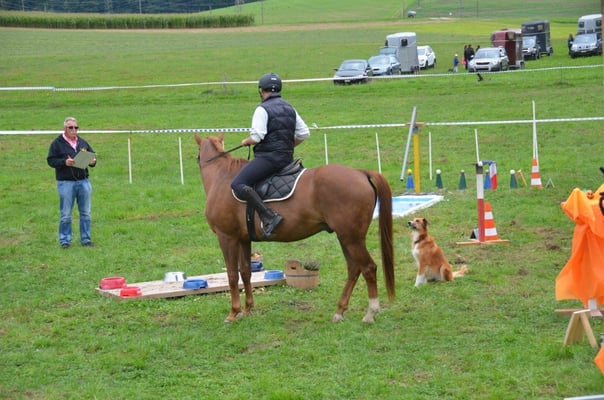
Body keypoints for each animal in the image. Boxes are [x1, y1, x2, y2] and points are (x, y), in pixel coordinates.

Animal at [194, 134, 395, 323]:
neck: (221, 177)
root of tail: (360, 173)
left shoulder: (226, 237)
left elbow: (232, 275)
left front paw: (233, 313)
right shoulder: (243, 239)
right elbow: (245, 272)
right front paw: (247, 309)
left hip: (351, 238)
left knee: (368, 268)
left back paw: (370, 313)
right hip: (345, 237)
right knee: (354, 268)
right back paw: (339, 311)